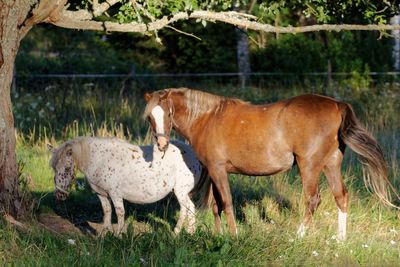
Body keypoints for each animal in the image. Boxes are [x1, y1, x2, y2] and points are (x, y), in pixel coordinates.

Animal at [48, 137, 208, 236]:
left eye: (67, 168)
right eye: (54, 168)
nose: (59, 195)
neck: (99, 160)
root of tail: (194, 155)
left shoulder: (115, 194)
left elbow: (120, 213)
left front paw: (119, 235)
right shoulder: (102, 194)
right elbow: (107, 212)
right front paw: (104, 235)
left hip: (180, 191)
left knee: (185, 209)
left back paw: (175, 233)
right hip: (183, 192)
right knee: (191, 208)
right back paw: (190, 233)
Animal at [143, 88, 396, 241]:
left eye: (168, 113)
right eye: (150, 117)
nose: (162, 144)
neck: (207, 118)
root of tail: (336, 104)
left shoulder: (217, 169)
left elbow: (226, 203)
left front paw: (234, 236)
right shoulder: (216, 171)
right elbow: (216, 205)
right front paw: (218, 235)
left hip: (309, 166)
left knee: (313, 199)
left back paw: (298, 235)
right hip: (331, 164)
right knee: (341, 196)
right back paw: (341, 239)